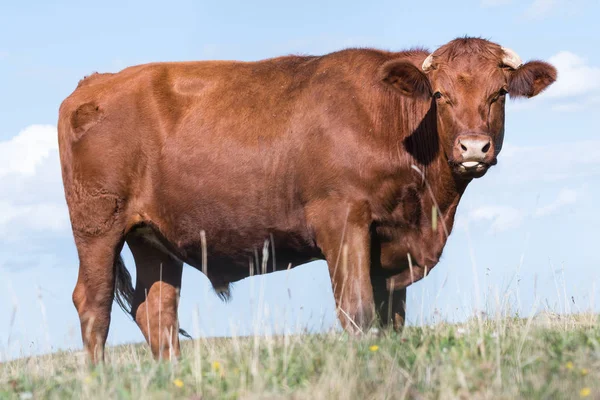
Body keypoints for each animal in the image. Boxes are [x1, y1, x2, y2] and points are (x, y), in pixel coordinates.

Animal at [57, 36, 556, 362]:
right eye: (439, 94)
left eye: (498, 94)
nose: (473, 148)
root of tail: (95, 82)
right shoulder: (343, 220)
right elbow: (356, 310)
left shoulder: (391, 248)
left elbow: (390, 318)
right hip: (97, 225)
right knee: (94, 304)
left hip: (152, 239)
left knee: (156, 310)